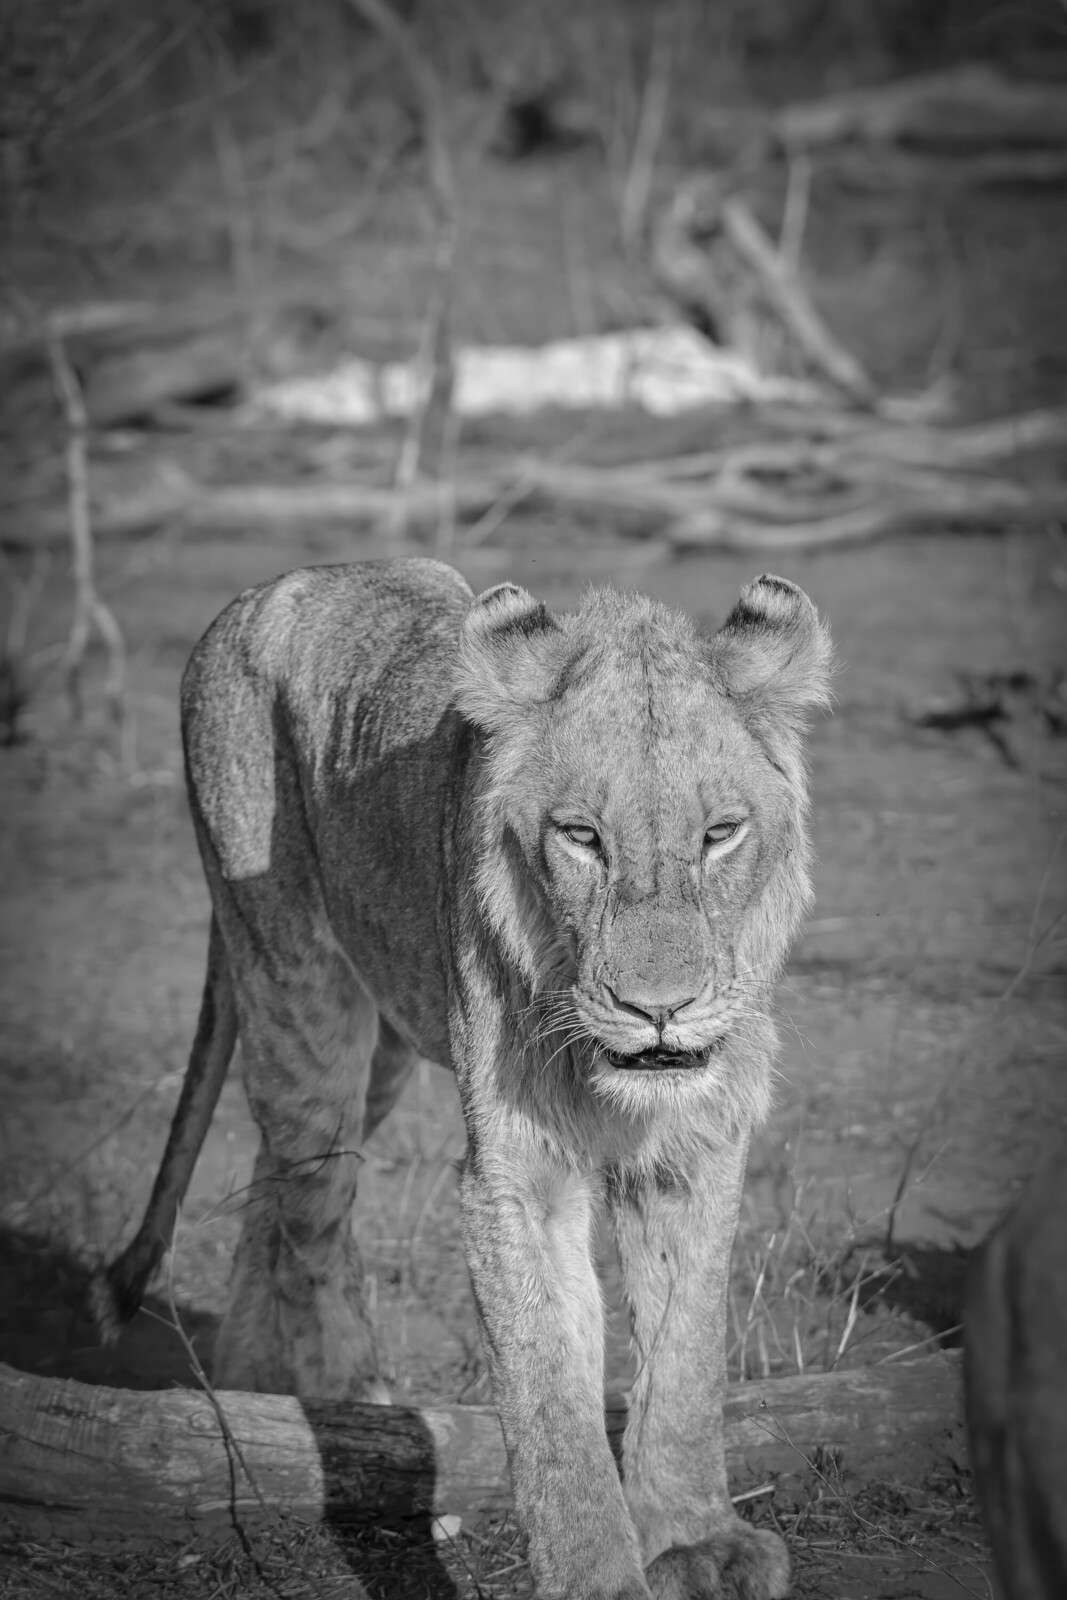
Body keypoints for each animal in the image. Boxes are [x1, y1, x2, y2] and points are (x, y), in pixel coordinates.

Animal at [96, 558, 832, 1600]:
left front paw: (696, 1540)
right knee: (315, 1213)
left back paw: (249, 1386)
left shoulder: (693, 1146)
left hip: (387, 1038)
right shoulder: (516, 1173)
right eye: (581, 837)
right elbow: (549, 1391)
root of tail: (270, 585)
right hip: (295, 990)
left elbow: (685, 1351)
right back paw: (360, 1423)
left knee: (274, 1186)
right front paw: (598, 1575)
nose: (658, 1009)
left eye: (720, 834)